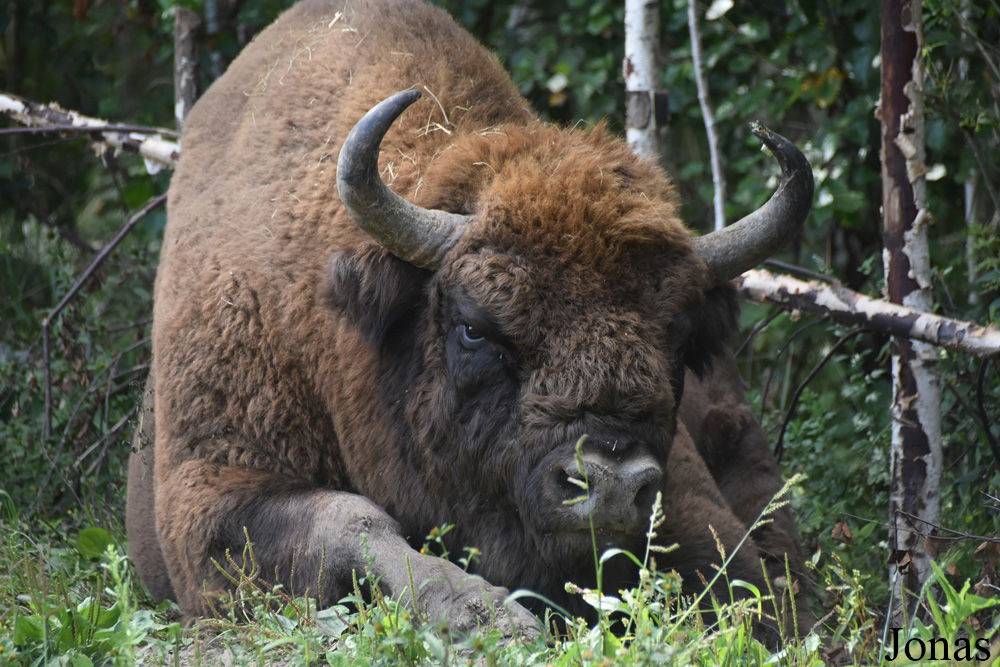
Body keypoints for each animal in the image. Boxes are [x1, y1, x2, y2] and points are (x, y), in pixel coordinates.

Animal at [125, 0, 816, 640]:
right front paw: (487, 617)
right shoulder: (211, 495)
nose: (613, 483)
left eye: (674, 333)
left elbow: (739, 579)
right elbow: (353, 522)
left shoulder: (685, 498)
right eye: (474, 327)